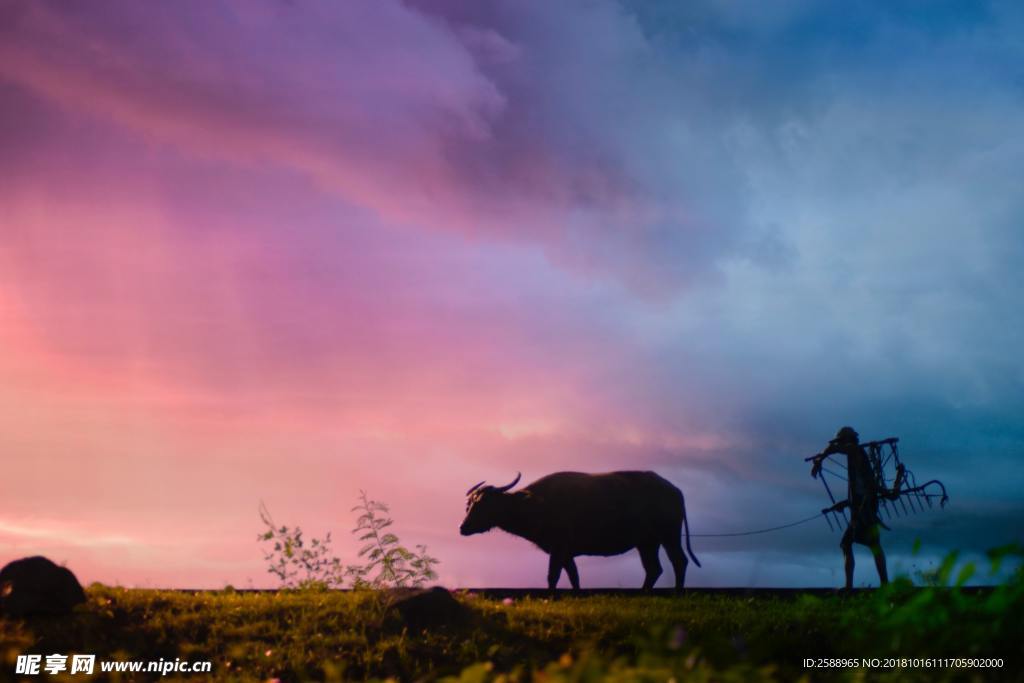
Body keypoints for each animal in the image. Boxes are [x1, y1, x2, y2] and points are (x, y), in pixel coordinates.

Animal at [460, 473, 700, 589]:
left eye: (485, 503)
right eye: (470, 504)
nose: (463, 527)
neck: (537, 504)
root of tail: (675, 491)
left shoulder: (559, 549)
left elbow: (552, 576)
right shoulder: (565, 553)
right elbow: (574, 576)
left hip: (669, 536)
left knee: (679, 561)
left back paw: (678, 592)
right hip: (647, 543)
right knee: (654, 569)